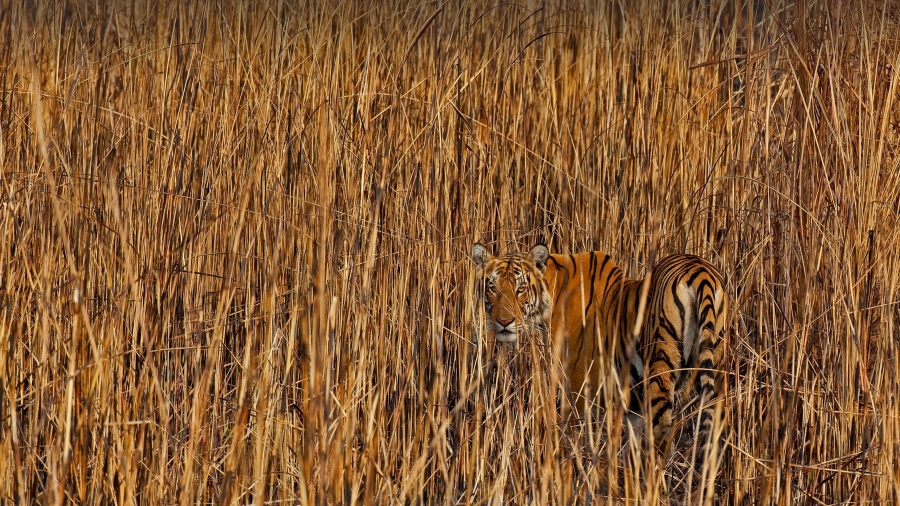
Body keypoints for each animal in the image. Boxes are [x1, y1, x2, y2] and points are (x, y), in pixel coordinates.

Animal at [474, 241, 728, 458]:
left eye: (520, 289)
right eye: (492, 288)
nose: (504, 322)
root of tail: (700, 271)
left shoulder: (580, 388)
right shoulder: (631, 401)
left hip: (660, 368)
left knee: (661, 434)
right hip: (715, 370)